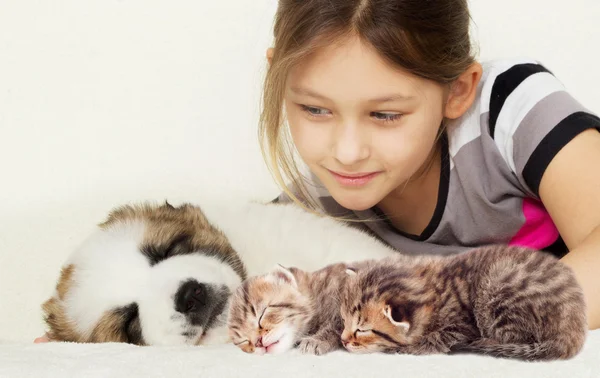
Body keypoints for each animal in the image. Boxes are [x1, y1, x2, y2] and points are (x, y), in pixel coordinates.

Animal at [340, 245, 588, 360]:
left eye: (362, 330)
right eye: (343, 321)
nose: (343, 340)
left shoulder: (463, 325)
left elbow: (439, 337)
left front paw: (410, 347)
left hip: (499, 289)